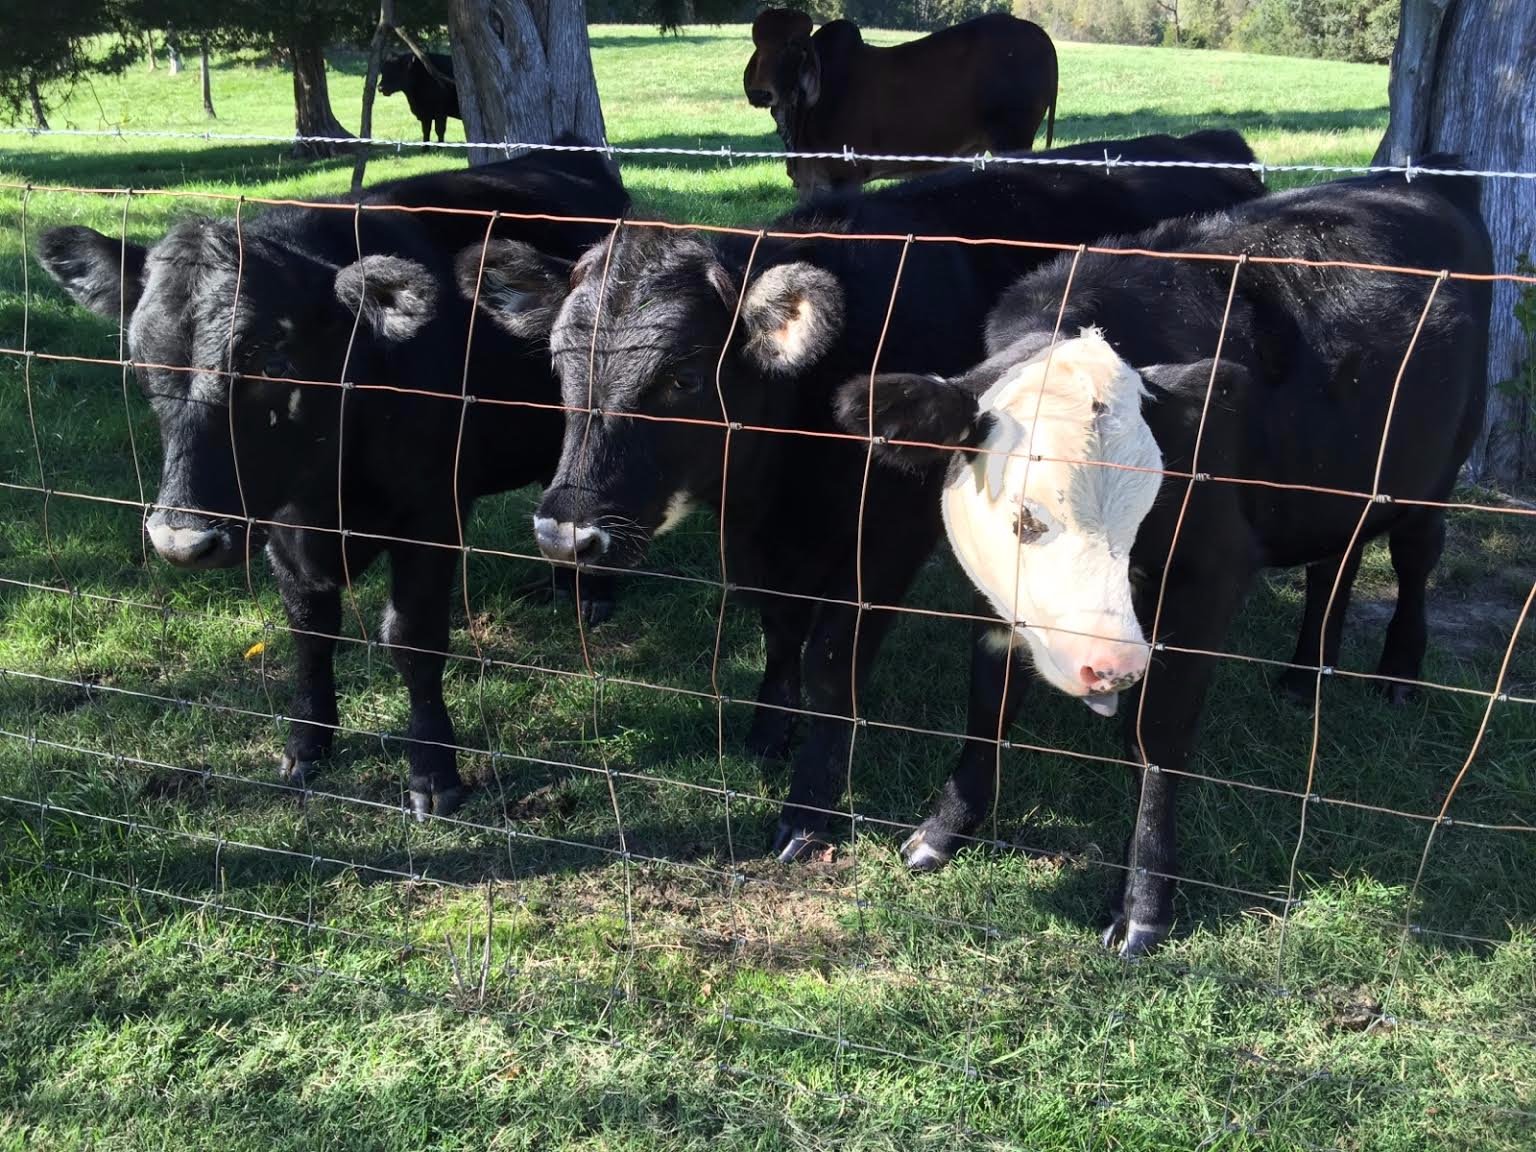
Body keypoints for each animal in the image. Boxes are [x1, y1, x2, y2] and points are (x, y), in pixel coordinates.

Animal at [35, 144, 629, 821]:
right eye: (140, 363)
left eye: (274, 363)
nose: (181, 543)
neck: (331, 493)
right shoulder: (279, 521)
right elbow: (310, 630)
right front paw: (306, 744)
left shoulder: (432, 513)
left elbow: (413, 639)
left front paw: (433, 772)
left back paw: (590, 592)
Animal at [450, 131, 1266, 864]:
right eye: (558, 365)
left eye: (682, 378)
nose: (566, 534)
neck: (790, 473)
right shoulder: (757, 538)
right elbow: (780, 627)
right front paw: (767, 732)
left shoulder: (889, 535)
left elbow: (831, 656)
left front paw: (808, 804)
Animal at [743, 10, 1058, 202]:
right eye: (758, 43)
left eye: (792, 45)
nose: (760, 94)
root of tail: (1040, 35)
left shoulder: (846, 177)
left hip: (1012, 139)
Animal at [833, 161, 1493, 955]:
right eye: (1024, 517)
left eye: (1151, 505)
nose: (1111, 666)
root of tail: (1417, 184)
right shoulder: (996, 596)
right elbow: (989, 699)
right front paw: (943, 830)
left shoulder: (1208, 576)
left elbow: (1155, 737)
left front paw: (1144, 904)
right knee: (1330, 568)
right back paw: (1304, 677)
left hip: (1439, 469)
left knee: (1415, 557)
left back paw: (1396, 674)